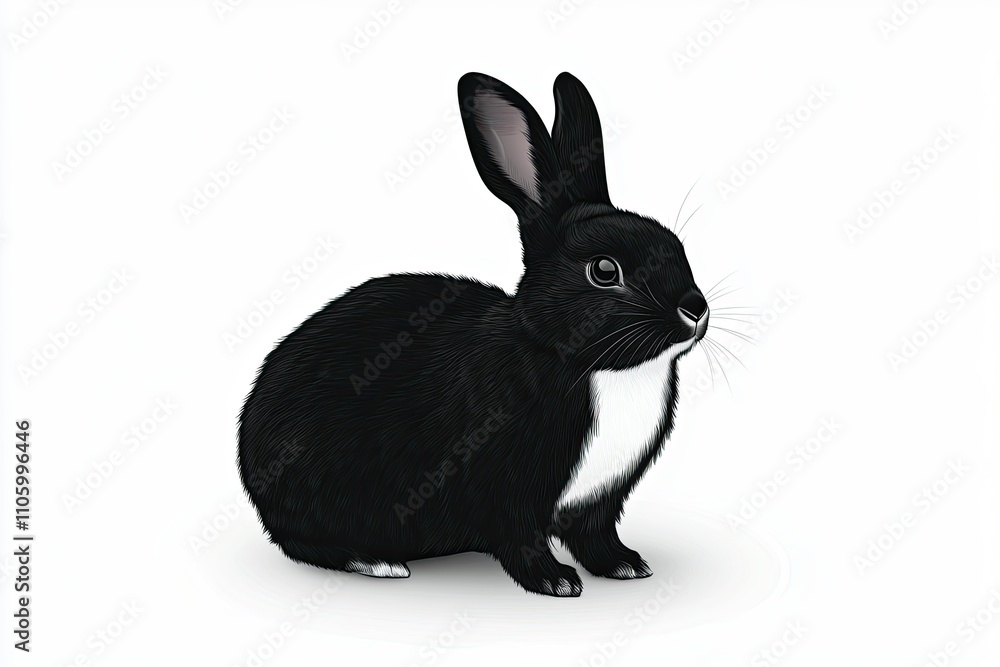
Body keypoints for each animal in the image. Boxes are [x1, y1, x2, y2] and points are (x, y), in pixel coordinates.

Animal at [238, 71, 710, 597]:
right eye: (605, 271)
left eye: (677, 246)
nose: (696, 309)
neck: (587, 364)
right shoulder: (507, 486)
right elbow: (521, 535)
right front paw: (555, 582)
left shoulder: (600, 499)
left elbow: (596, 534)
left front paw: (625, 565)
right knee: (304, 543)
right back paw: (376, 562)